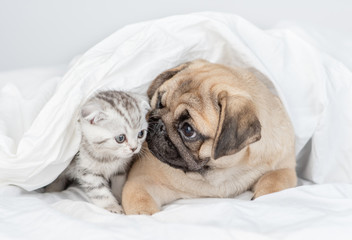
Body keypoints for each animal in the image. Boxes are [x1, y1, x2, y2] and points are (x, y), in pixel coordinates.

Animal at [122, 59, 296, 215]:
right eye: (159, 103)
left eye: (188, 130)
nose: (158, 124)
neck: (217, 173)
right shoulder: (143, 180)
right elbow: (140, 199)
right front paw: (145, 215)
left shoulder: (284, 167)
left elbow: (274, 180)